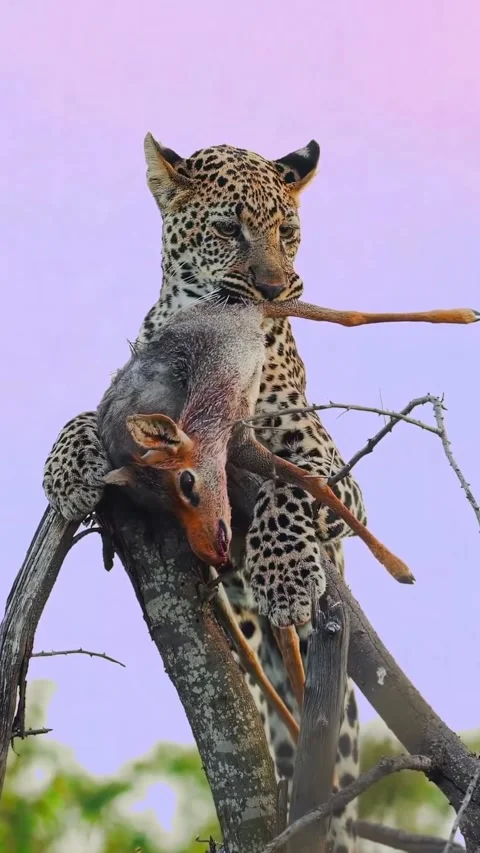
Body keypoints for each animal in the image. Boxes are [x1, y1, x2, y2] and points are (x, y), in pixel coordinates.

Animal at [43, 133, 367, 851]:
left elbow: (291, 491)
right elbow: (85, 417)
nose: (275, 287)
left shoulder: (336, 474)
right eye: (227, 229)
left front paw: (283, 573)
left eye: (287, 233)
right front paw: (66, 470)